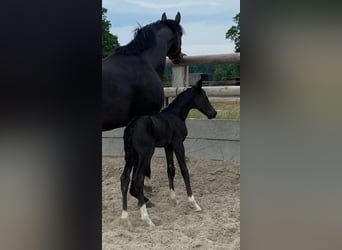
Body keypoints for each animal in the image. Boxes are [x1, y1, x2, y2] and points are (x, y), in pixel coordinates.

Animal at [120, 79, 216, 227]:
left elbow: (170, 170)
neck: (175, 115)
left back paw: (125, 218)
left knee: (124, 179)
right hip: (145, 154)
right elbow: (184, 170)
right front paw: (194, 203)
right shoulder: (178, 145)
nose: (214, 113)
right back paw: (147, 219)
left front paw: (173, 199)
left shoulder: (168, 147)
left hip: (131, 155)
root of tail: (131, 127)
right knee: (138, 179)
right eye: (204, 97)